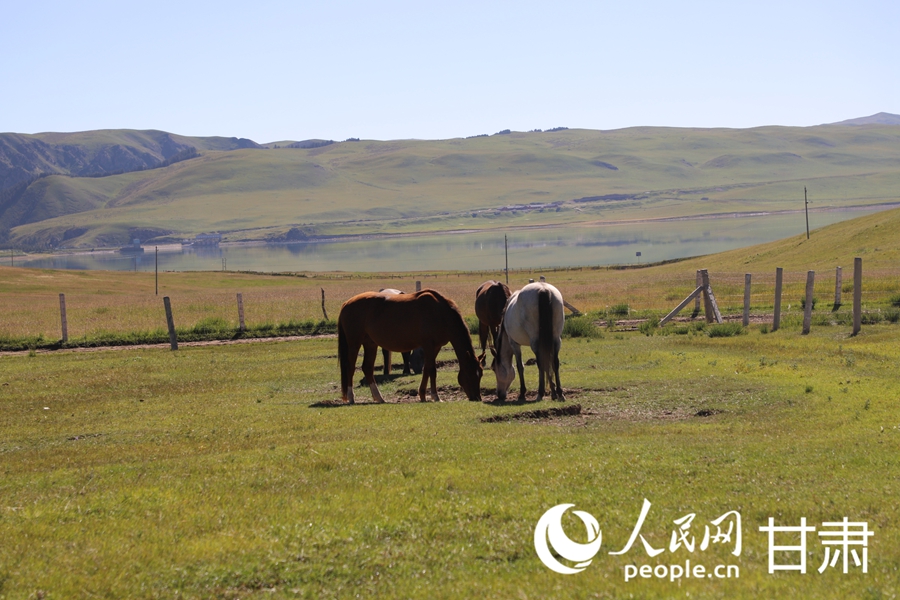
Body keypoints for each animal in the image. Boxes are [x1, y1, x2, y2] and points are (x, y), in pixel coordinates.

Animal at [338, 288, 482, 404]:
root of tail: (346, 304)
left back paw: (379, 397)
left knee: (367, 368)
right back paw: (351, 397)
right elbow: (432, 369)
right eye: (470, 373)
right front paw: (434, 396)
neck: (440, 312)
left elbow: (427, 369)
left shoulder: (436, 347)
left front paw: (424, 395)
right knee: (350, 367)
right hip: (354, 342)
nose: (477, 398)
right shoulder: (429, 345)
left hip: (370, 344)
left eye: (480, 374)